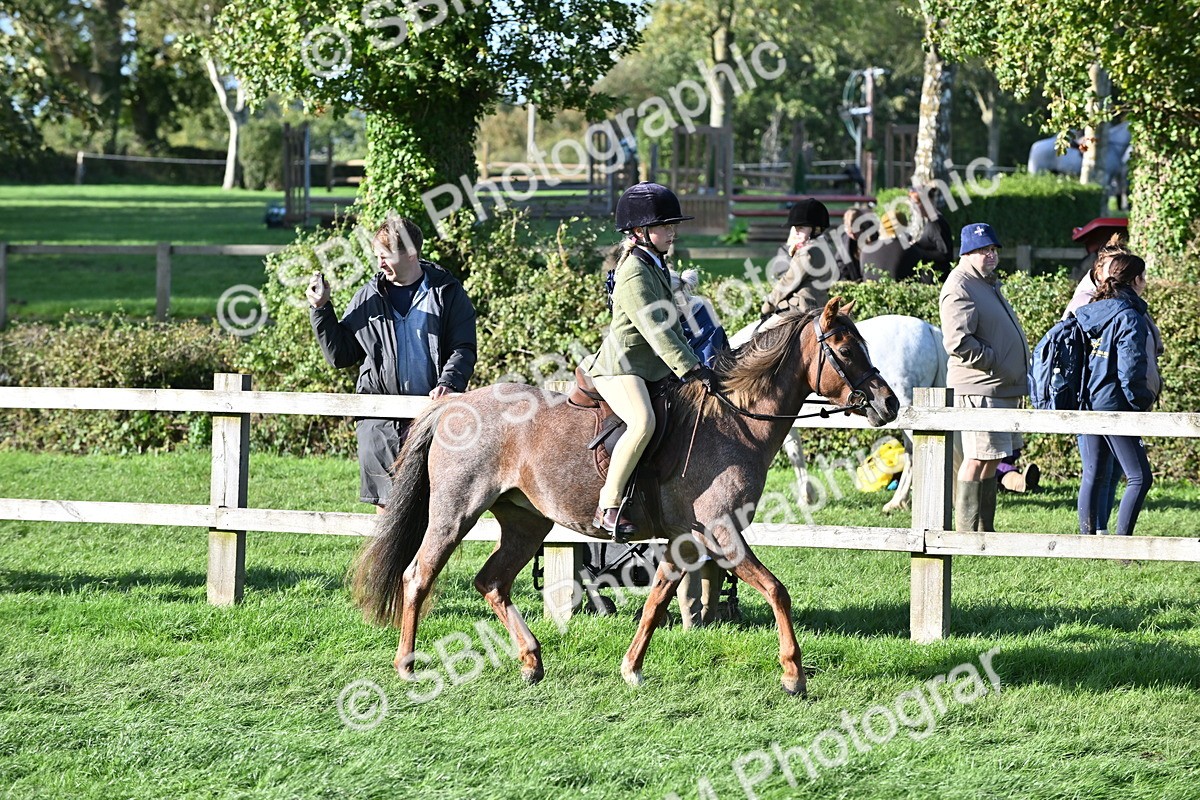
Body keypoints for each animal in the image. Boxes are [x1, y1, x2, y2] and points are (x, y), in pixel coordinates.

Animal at [351, 298, 899, 696]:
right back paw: (407, 665)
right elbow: (776, 590)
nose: (889, 403)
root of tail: (454, 405)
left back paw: (531, 661)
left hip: (527, 522)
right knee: (419, 576)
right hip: (454, 513)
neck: (734, 420)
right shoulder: (722, 532)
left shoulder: (686, 540)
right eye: (847, 349)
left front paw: (632, 668)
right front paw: (793, 675)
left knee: (492, 581)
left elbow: (657, 600)